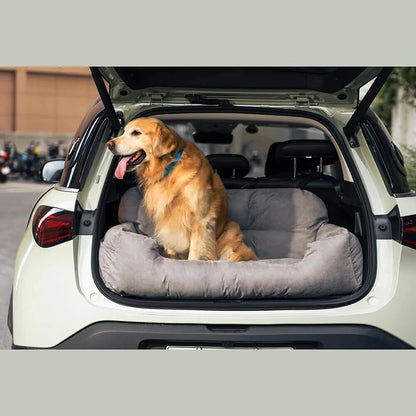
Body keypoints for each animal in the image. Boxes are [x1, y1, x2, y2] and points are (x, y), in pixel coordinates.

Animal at [107, 116, 256, 260]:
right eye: (124, 132)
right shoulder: (165, 219)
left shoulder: (200, 220)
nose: (109, 144)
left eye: (136, 133)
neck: (169, 168)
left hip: (232, 231)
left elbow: (195, 255)